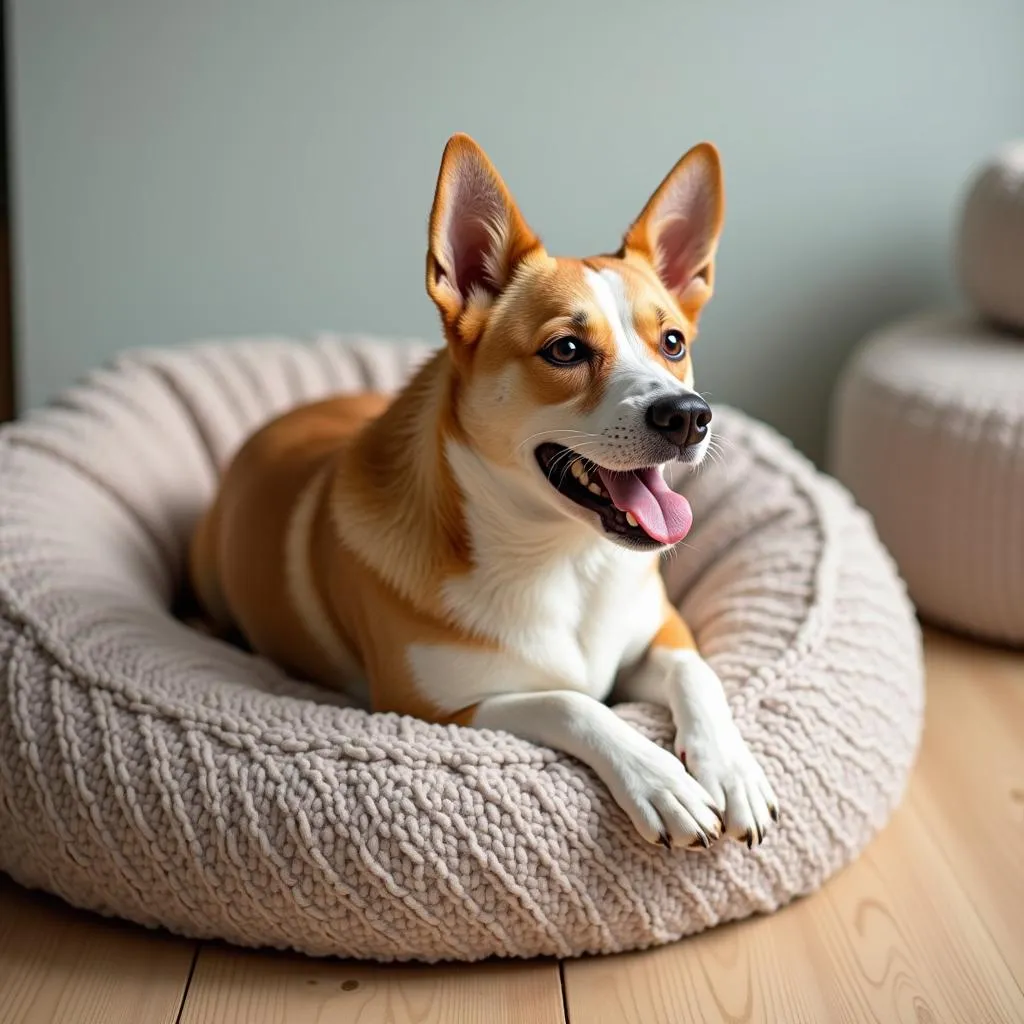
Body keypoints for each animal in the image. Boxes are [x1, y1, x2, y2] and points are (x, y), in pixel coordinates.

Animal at [188, 132, 774, 851]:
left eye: (672, 342)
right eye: (566, 349)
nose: (689, 415)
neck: (565, 560)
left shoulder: (662, 629)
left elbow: (697, 671)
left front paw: (733, 768)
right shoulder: (435, 709)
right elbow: (571, 701)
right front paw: (661, 779)